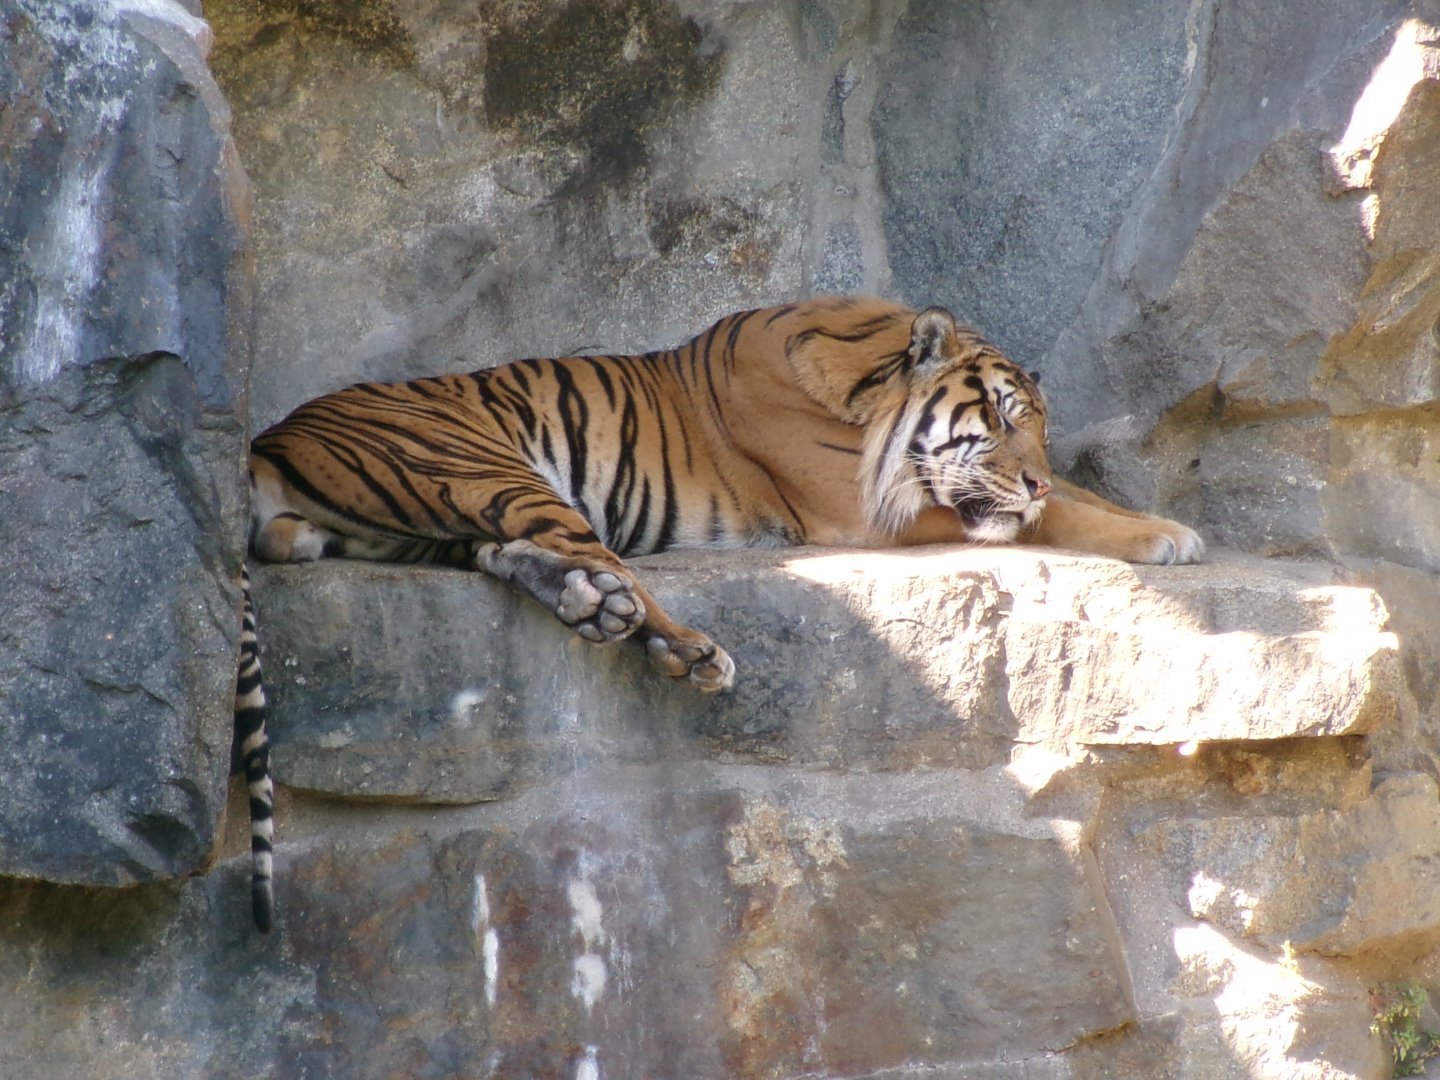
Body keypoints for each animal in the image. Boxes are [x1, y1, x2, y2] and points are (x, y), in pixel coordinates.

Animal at [238, 297, 1202, 926]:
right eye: (999, 419)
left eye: (1038, 424)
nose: (1030, 471)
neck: (861, 383)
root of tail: (265, 438)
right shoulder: (861, 510)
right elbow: (1056, 512)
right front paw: (1165, 534)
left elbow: (1071, 498)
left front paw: (1150, 519)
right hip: (479, 465)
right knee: (600, 569)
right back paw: (683, 647)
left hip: (436, 521)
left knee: (510, 556)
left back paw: (592, 608)